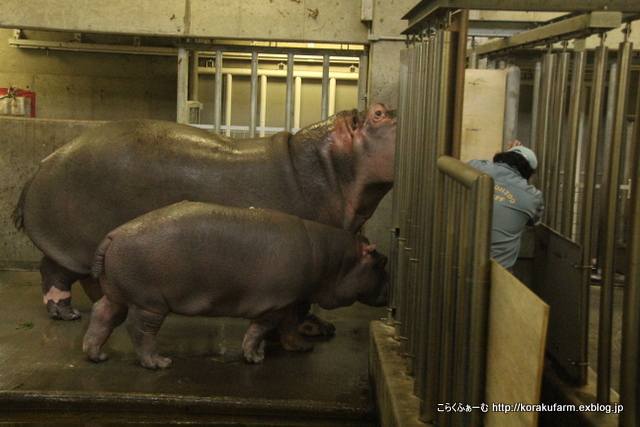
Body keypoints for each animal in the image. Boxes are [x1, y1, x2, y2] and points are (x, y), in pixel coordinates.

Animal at [12, 104, 396, 324]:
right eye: (380, 113)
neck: (329, 165)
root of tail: (46, 159)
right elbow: (302, 303)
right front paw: (312, 331)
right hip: (73, 244)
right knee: (54, 272)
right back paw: (66, 314)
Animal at [82, 201, 388, 368]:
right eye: (382, 262)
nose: (390, 293)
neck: (332, 258)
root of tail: (112, 235)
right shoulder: (274, 304)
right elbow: (260, 330)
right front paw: (255, 357)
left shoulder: (289, 300)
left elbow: (290, 327)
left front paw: (303, 348)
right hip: (149, 303)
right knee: (139, 329)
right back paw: (159, 364)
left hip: (120, 295)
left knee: (102, 314)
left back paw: (96, 355)